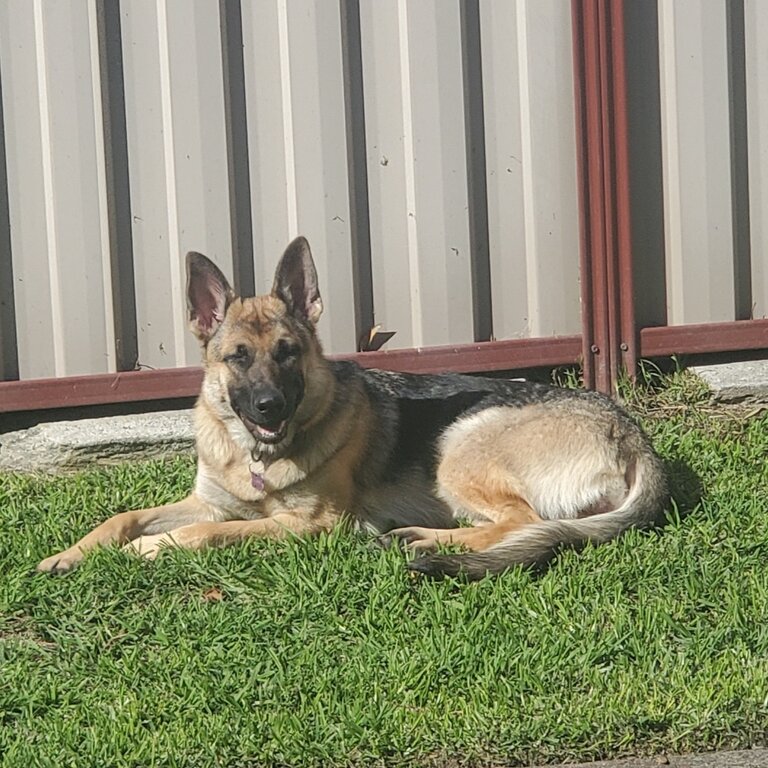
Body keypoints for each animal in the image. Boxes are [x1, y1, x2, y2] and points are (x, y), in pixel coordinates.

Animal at [39, 237, 668, 580]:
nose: (269, 406)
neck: (255, 459)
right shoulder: (209, 502)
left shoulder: (305, 525)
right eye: (238, 357)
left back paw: (423, 542)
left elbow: (206, 535)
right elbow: (123, 516)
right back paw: (414, 536)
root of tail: (632, 432)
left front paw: (150, 549)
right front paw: (69, 555)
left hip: (461, 446)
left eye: (288, 353)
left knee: (524, 524)